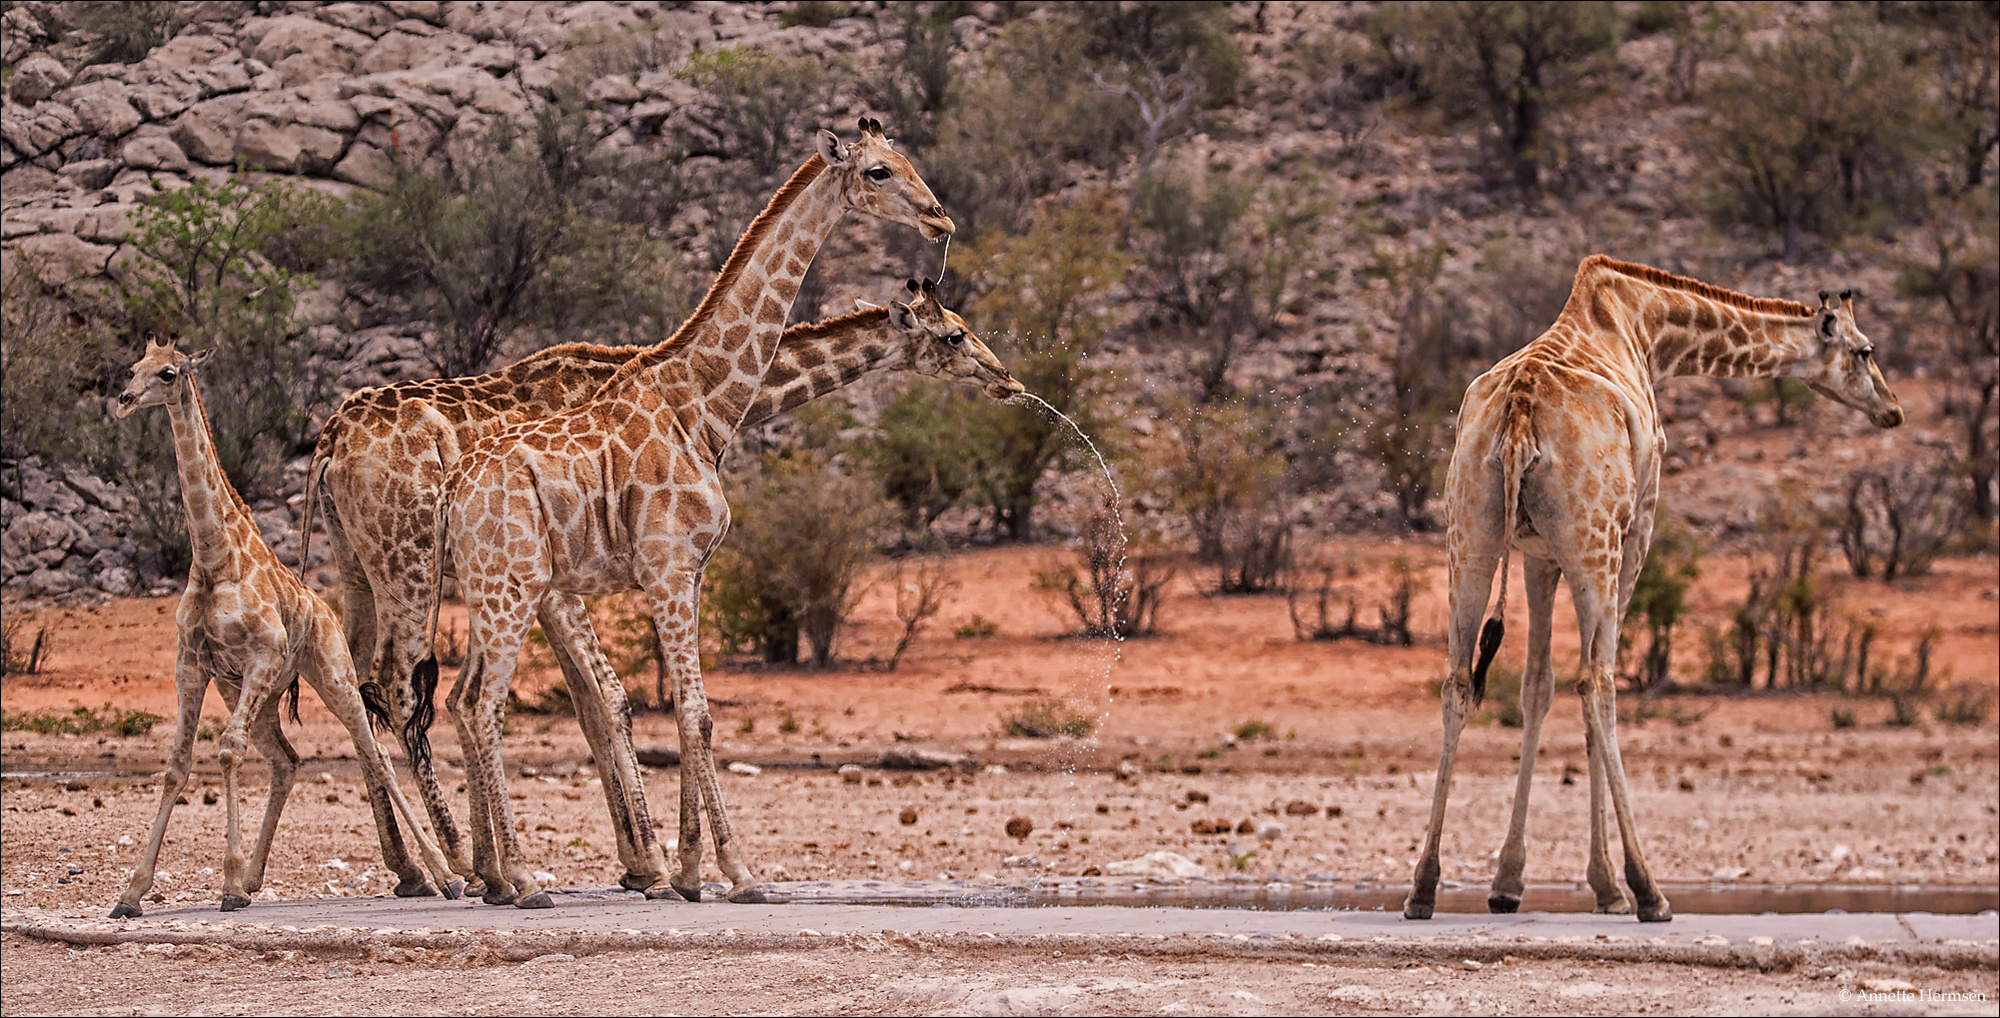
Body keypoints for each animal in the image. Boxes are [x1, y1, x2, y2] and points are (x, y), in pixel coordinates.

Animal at [108, 338, 458, 916]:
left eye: (167, 373)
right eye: (132, 367)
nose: (124, 400)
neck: (214, 558)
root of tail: (325, 609)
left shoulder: (263, 656)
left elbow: (227, 750)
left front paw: (227, 883)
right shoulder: (193, 665)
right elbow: (177, 765)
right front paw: (132, 892)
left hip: (332, 675)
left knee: (377, 754)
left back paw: (444, 875)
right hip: (253, 694)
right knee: (287, 760)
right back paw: (255, 877)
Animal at [304, 276, 1024, 888]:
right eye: (955, 335)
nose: (1008, 380)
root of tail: (329, 441)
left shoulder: (553, 585)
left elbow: (595, 706)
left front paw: (641, 859)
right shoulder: (572, 580)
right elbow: (614, 700)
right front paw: (655, 860)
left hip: (357, 567)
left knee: (353, 681)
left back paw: (412, 865)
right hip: (407, 563)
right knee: (397, 685)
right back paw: (450, 860)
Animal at [418, 119, 956, 904]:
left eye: (910, 159)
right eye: (880, 172)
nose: (940, 219)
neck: (700, 399)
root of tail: (456, 487)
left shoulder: (689, 573)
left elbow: (682, 714)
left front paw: (692, 871)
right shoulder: (669, 570)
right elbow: (697, 715)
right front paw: (738, 872)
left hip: (493, 590)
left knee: (460, 699)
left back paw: (493, 875)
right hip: (512, 588)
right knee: (485, 706)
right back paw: (519, 877)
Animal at [1408, 256, 1904, 920]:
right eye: (1864, 349)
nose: (1892, 409)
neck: (1646, 329)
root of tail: (1518, 417)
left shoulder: (1539, 556)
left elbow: (1537, 687)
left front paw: (1508, 881)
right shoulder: (1637, 527)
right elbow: (1587, 682)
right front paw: (1606, 887)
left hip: (1470, 535)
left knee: (1459, 681)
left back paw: (1423, 885)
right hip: (1596, 543)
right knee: (1598, 683)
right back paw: (1647, 889)